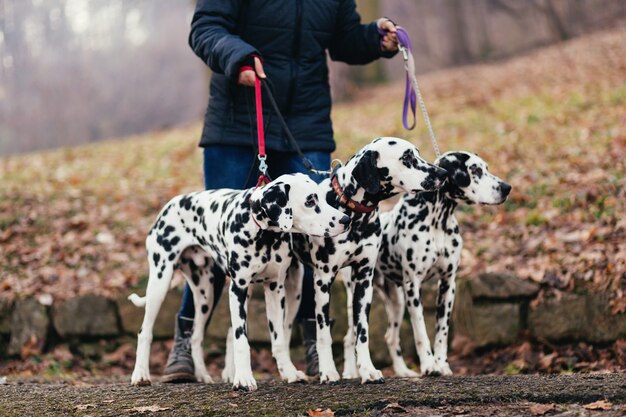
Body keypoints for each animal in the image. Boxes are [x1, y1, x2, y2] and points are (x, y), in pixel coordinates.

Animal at [129, 172, 348, 386]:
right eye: (310, 201)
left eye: (323, 197)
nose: (345, 219)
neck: (263, 234)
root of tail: (170, 205)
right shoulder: (238, 289)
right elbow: (241, 339)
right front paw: (243, 378)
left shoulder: (275, 289)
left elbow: (278, 340)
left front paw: (289, 372)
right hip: (160, 281)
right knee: (145, 332)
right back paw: (140, 375)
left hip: (205, 294)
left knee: (196, 337)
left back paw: (202, 375)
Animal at [286, 137, 446, 384]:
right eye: (407, 157)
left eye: (417, 153)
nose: (443, 173)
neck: (354, 215)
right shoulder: (323, 281)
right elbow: (324, 333)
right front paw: (328, 371)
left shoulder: (364, 280)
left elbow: (362, 333)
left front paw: (368, 370)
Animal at [342, 150, 512, 376]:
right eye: (475, 170)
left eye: (486, 167)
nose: (506, 188)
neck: (437, 221)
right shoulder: (413, 286)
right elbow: (421, 332)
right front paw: (429, 365)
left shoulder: (448, 284)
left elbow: (442, 332)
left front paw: (442, 364)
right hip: (357, 295)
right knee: (350, 337)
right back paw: (350, 373)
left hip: (397, 301)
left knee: (390, 336)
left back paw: (403, 371)